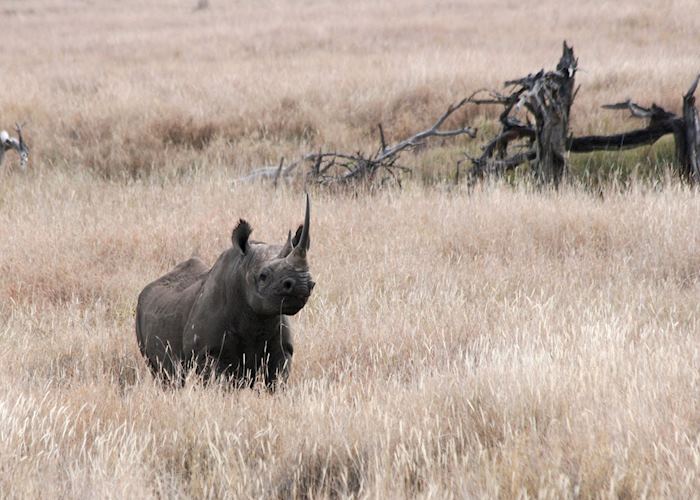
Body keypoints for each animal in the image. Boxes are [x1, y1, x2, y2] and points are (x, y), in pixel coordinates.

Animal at [135, 195, 314, 389]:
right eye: (263, 276)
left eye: (311, 282)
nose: (302, 284)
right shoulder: (207, 352)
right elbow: (220, 383)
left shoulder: (283, 349)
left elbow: (277, 381)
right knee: (162, 375)